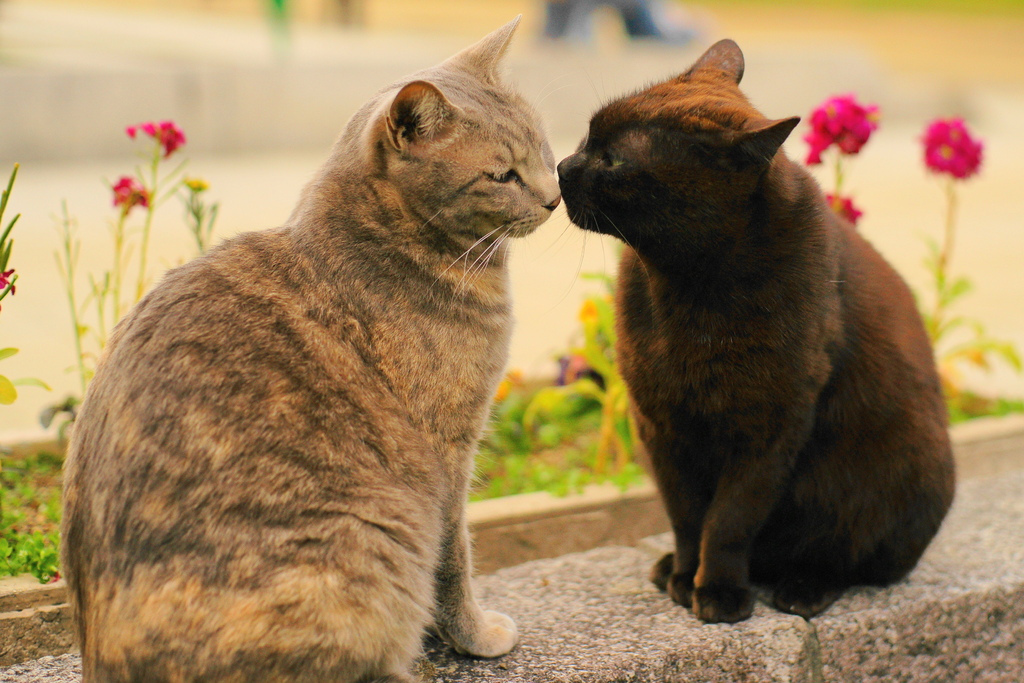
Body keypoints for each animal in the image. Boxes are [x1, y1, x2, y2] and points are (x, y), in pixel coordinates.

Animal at [64, 17, 561, 683]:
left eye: (545, 150)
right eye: (501, 175)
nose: (555, 196)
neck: (389, 243)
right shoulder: (447, 452)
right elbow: (454, 557)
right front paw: (474, 636)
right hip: (368, 534)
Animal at [557, 40, 954, 622]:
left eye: (615, 159)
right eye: (588, 137)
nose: (563, 165)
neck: (688, 284)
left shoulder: (770, 425)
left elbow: (729, 520)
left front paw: (719, 592)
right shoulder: (660, 423)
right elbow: (685, 517)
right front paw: (684, 576)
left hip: (907, 474)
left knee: (848, 558)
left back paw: (803, 587)